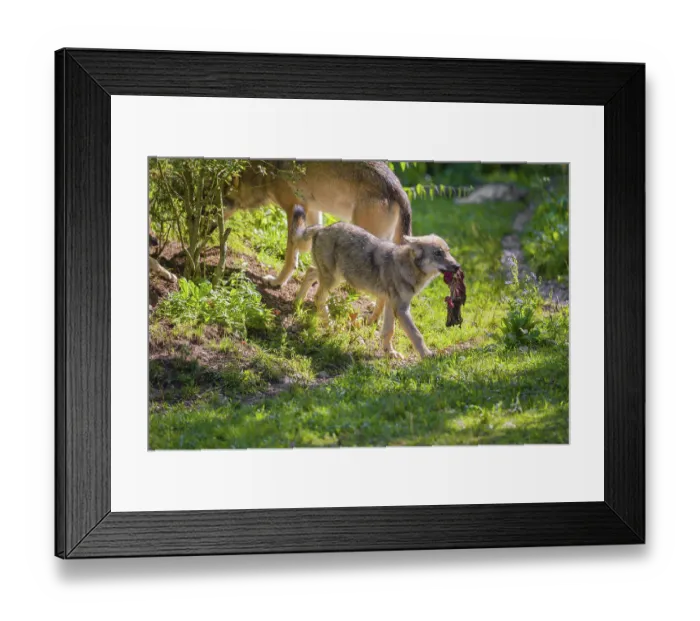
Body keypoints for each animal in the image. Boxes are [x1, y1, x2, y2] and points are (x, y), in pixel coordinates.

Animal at [222, 160, 412, 323]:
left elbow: (291, 253)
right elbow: (305, 243)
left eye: (221, 203)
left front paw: (277, 282)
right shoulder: (313, 209)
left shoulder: (294, 207)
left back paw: (371, 321)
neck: (263, 174)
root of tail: (399, 189)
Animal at [292, 206, 460, 359]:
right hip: (333, 279)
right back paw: (329, 325)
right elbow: (416, 335)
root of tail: (322, 228)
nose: (458, 266)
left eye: (448, 252)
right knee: (318, 297)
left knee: (310, 272)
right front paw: (427, 356)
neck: (408, 267)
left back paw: (297, 302)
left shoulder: (390, 303)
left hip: (334, 276)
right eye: (438, 253)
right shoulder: (401, 308)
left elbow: (389, 331)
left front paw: (390, 353)